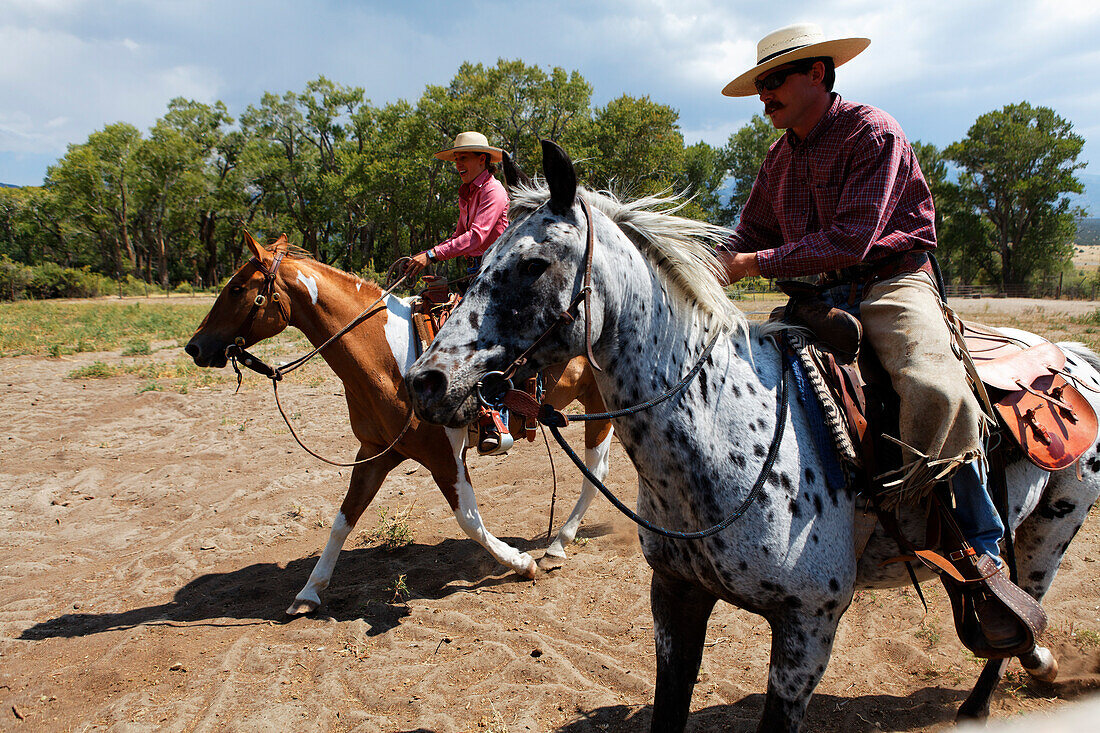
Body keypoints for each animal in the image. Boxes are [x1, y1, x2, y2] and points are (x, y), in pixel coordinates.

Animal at [185, 231, 616, 611]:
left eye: (237, 288)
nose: (194, 347)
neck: (389, 359)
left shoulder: (445, 457)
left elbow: (468, 520)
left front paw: (521, 564)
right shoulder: (375, 453)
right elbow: (344, 519)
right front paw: (309, 592)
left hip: (601, 404)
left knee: (595, 471)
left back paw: (556, 545)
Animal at [409, 139, 1100, 726]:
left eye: (533, 264)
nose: (426, 381)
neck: (725, 434)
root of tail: (1073, 357)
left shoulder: (807, 631)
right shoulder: (677, 597)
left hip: (1050, 532)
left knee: (1019, 607)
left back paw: (988, 694)